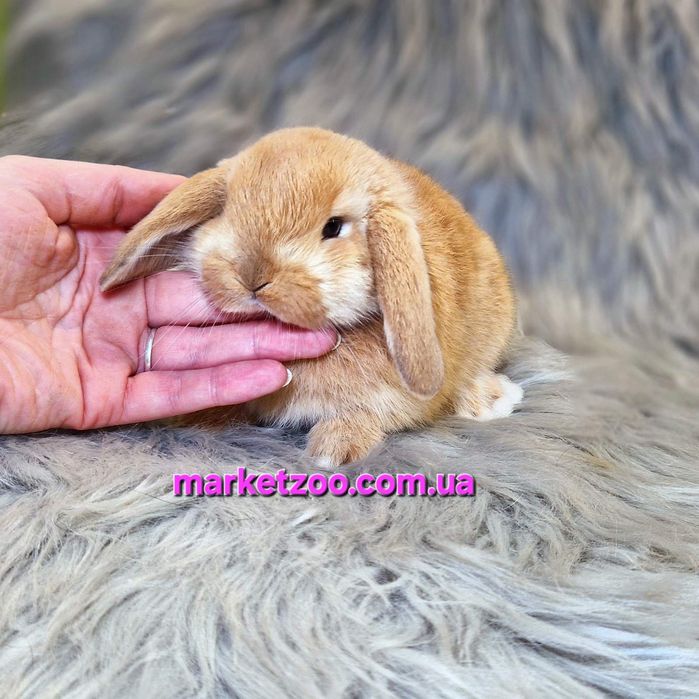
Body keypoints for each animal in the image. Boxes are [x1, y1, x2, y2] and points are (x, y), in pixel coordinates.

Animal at [100, 127, 522, 465]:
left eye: (333, 227)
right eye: (226, 211)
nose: (253, 278)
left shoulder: (396, 400)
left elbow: (372, 415)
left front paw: (332, 450)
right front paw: (197, 417)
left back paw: (494, 398)